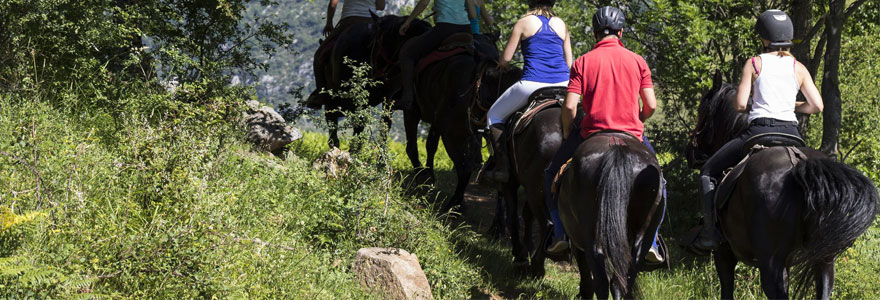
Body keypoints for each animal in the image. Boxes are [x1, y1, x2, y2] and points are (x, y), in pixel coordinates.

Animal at [556, 134, 668, 300]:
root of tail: (618, 147)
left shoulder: (577, 241)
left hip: (591, 235)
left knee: (601, 281)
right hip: (644, 234)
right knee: (622, 280)